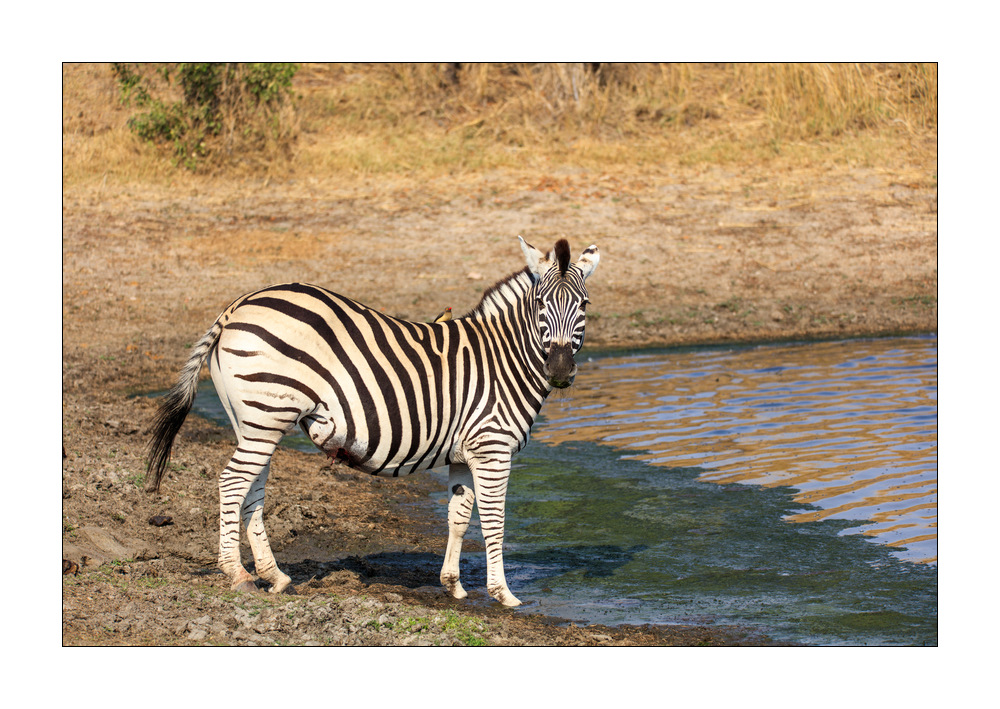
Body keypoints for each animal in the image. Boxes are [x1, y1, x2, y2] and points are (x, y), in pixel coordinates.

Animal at [146, 236, 600, 607]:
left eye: (584, 305)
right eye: (540, 305)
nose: (560, 370)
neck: (505, 358)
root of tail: (239, 303)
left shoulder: (464, 452)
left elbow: (457, 517)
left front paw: (453, 585)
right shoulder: (492, 448)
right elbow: (494, 522)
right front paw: (503, 594)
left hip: (255, 421)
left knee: (251, 489)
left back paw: (273, 576)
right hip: (267, 414)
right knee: (232, 482)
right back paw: (237, 574)